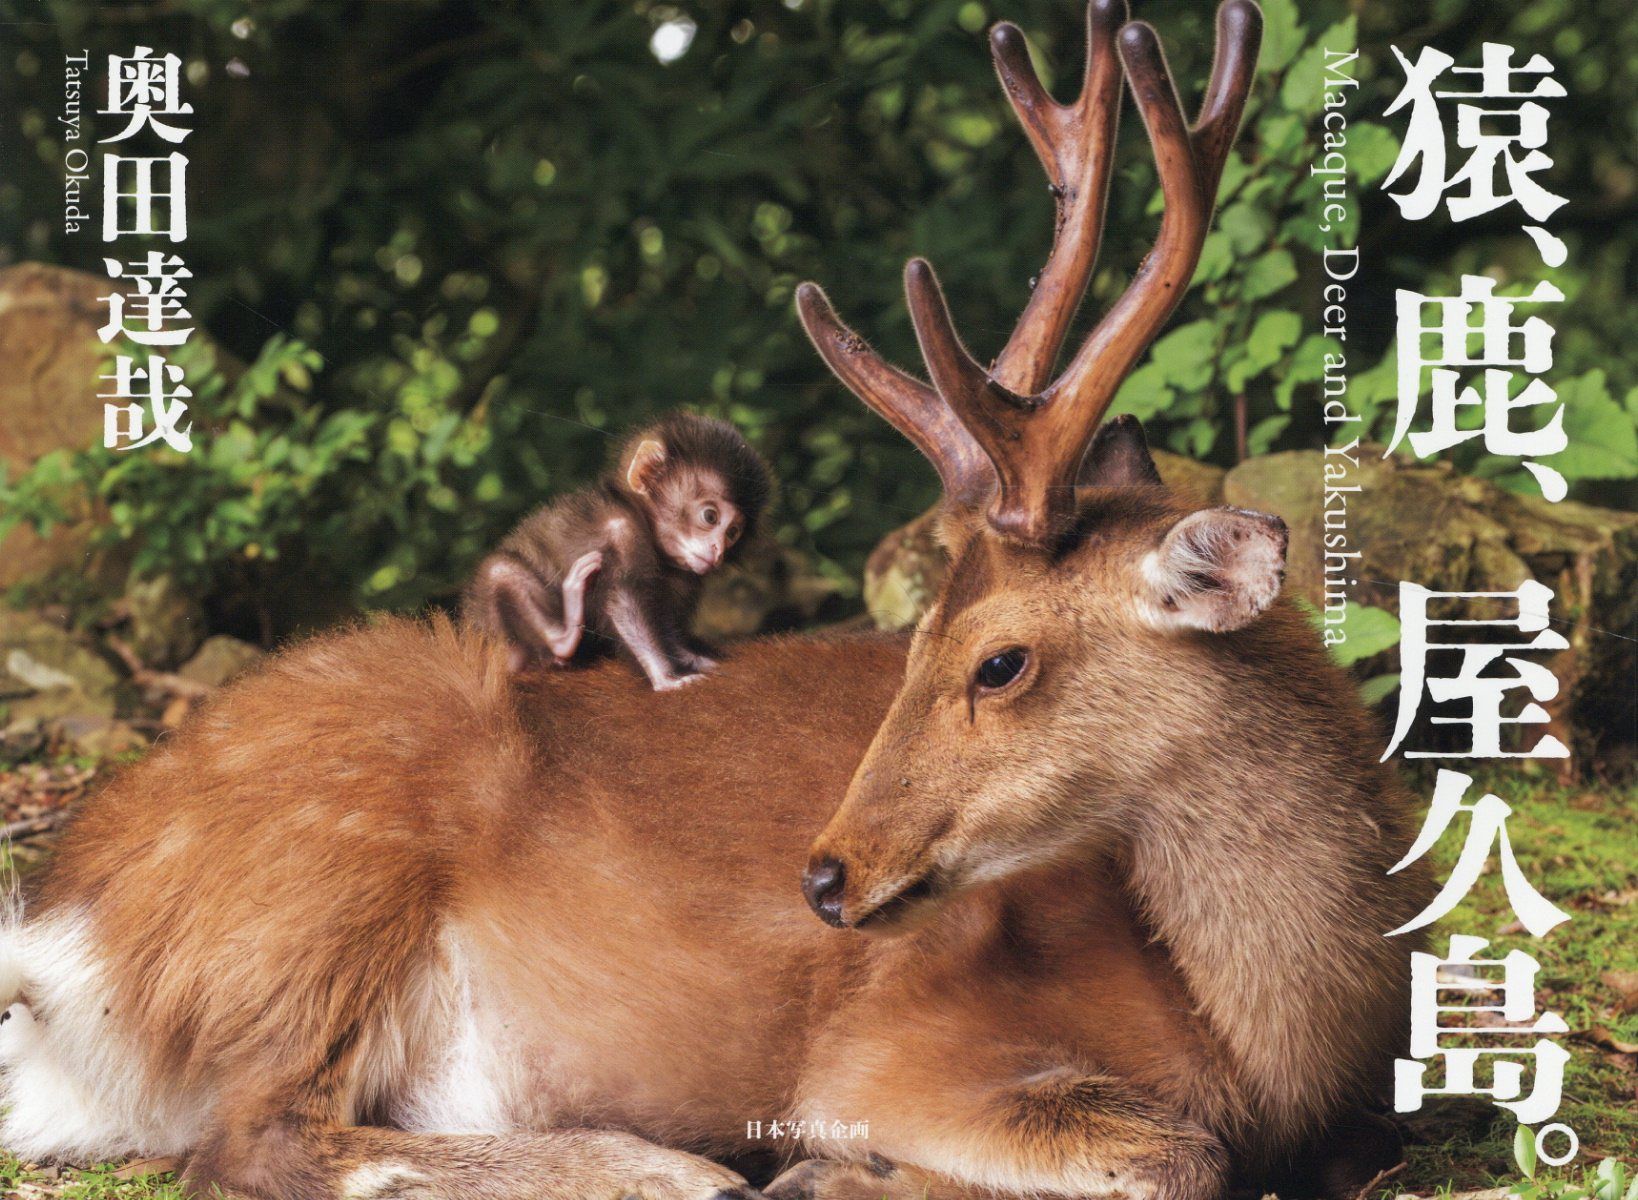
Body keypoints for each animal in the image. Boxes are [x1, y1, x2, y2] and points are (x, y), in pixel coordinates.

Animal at [461, 412, 772, 691]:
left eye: (732, 533)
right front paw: (665, 677)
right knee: (500, 570)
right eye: (710, 516)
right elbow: (623, 602)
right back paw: (563, 637)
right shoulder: (623, 532)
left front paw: (692, 658)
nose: (718, 550)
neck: (642, 520)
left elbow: (662, 621)